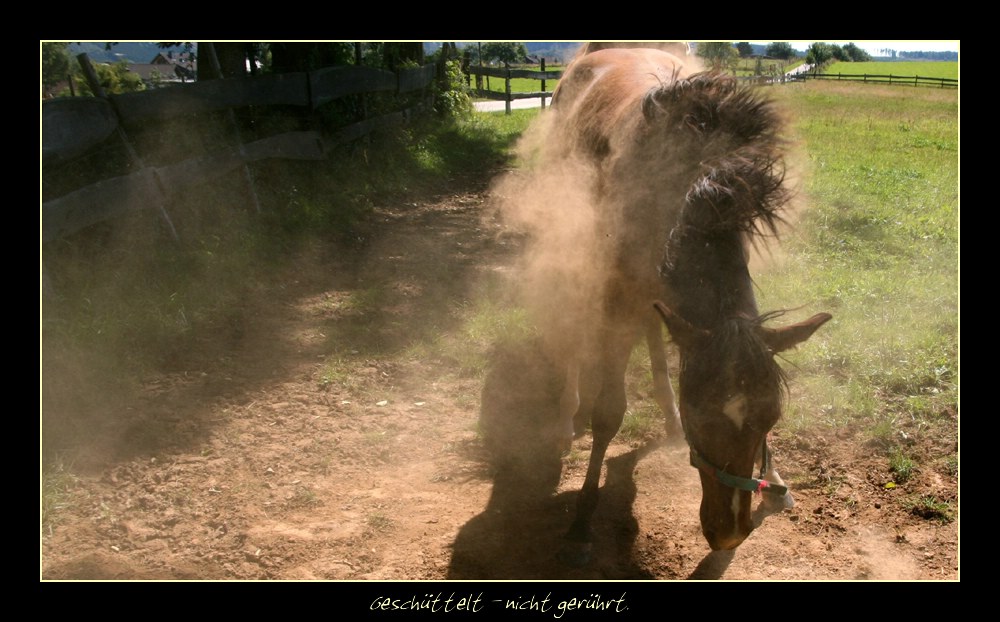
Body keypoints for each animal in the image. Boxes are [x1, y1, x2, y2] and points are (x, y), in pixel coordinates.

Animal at [532, 46, 836, 564]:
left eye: (771, 419)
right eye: (702, 417)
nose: (729, 534)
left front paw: (775, 479)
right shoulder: (617, 300)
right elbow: (609, 413)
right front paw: (582, 521)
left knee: (655, 334)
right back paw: (568, 417)